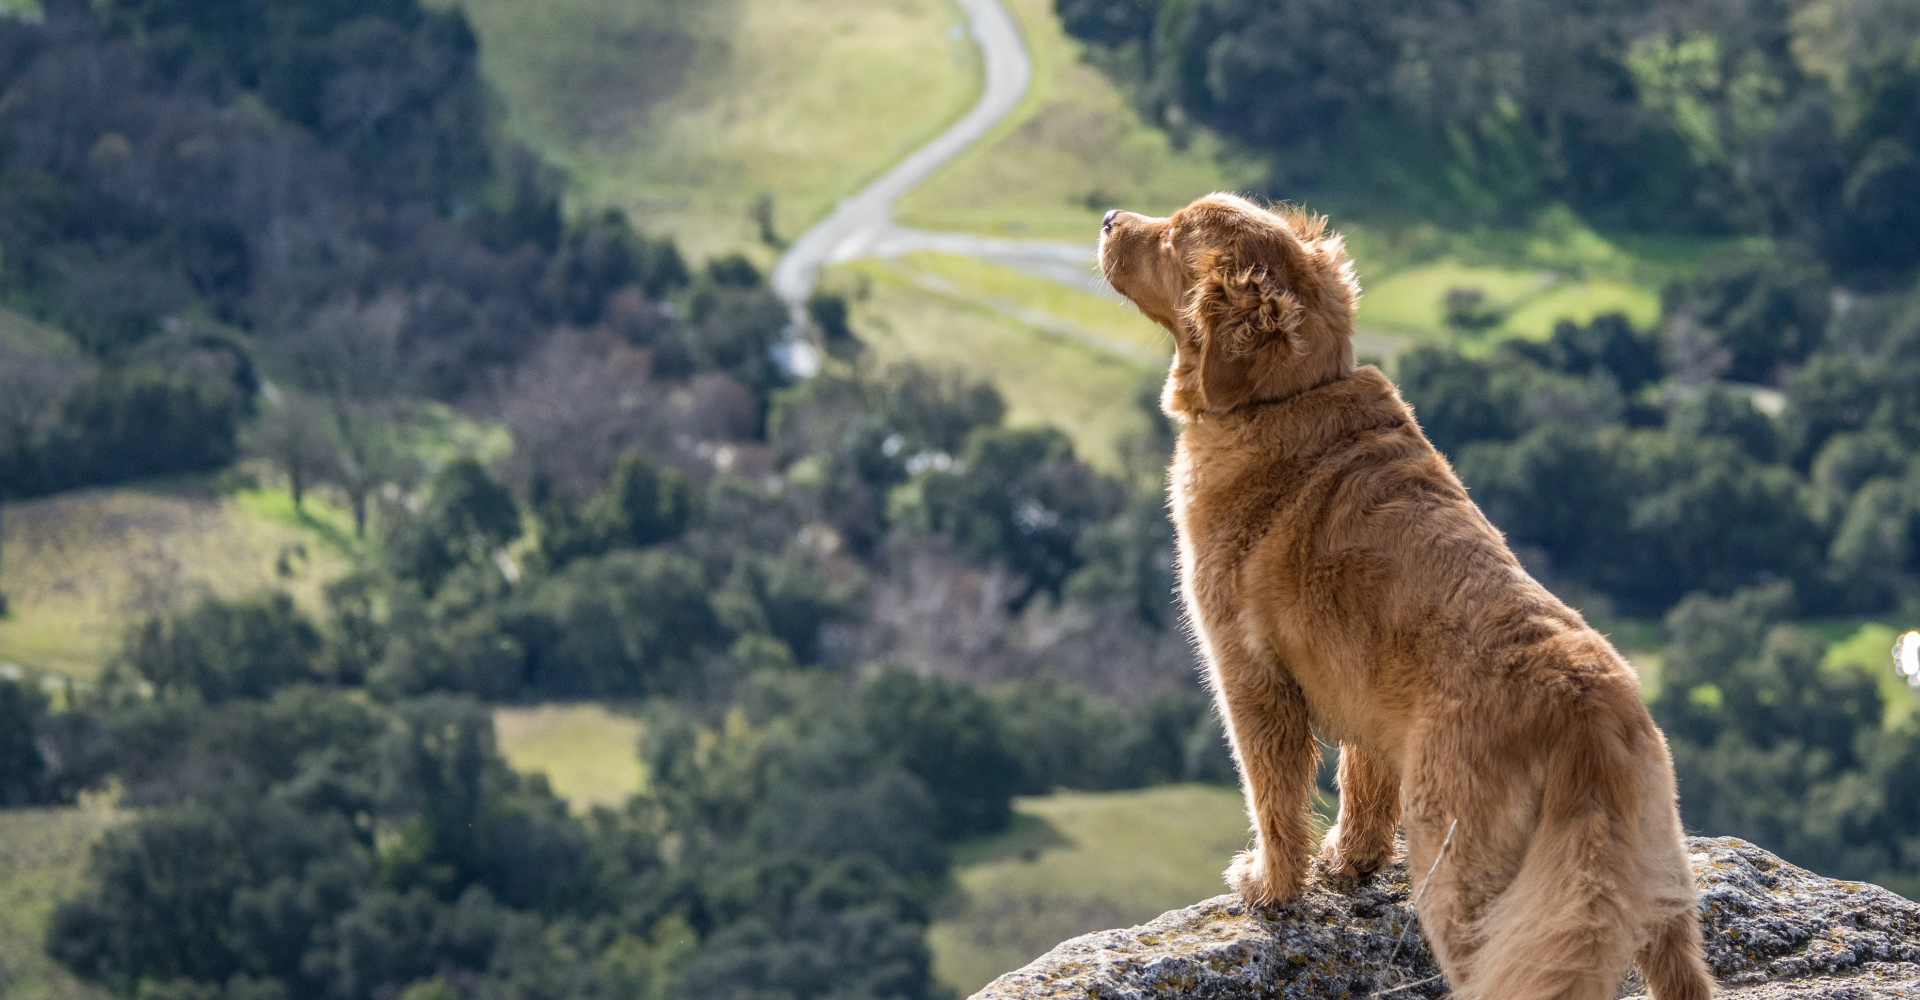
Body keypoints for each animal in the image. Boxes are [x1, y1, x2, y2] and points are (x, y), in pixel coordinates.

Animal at [1098, 194, 1712, 998]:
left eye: (1173, 236)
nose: (1108, 218)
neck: (1286, 395)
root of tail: (1586, 714)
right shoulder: (1363, 691)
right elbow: (1362, 785)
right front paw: (1350, 862)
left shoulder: (1252, 677)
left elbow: (1274, 798)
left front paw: (1271, 884)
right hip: (1657, 883)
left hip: (1462, 875)